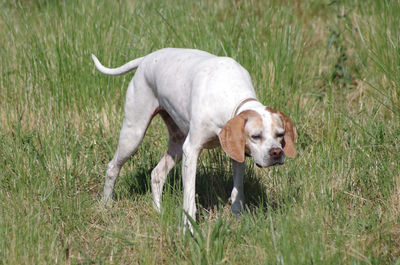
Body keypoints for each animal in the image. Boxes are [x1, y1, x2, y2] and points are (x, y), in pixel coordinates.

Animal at [91, 48, 296, 231]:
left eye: (280, 134)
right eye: (256, 136)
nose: (276, 152)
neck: (228, 93)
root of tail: (147, 58)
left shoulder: (237, 153)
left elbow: (237, 191)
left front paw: (238, 218)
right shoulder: (191, 150)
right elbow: (189, 199)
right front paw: (188, 229)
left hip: (176, 143)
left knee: (157, 174)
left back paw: (158, 211)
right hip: (134, 133)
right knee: (113, 167)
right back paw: (105, 204)